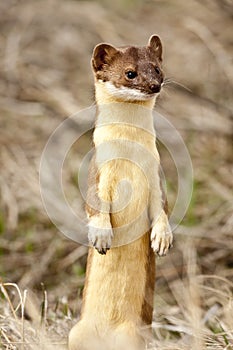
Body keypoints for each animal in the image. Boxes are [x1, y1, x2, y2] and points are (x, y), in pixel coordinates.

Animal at [68, 33, 173, 350]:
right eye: (130, 73)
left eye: (157, 69)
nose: (154, 85)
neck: (129, 156)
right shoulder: (98, 171)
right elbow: (93, 205)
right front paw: (101, 236)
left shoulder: (155, 173)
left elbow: (162, 207)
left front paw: (162, 239)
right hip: (74, 334)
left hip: (134, 336)